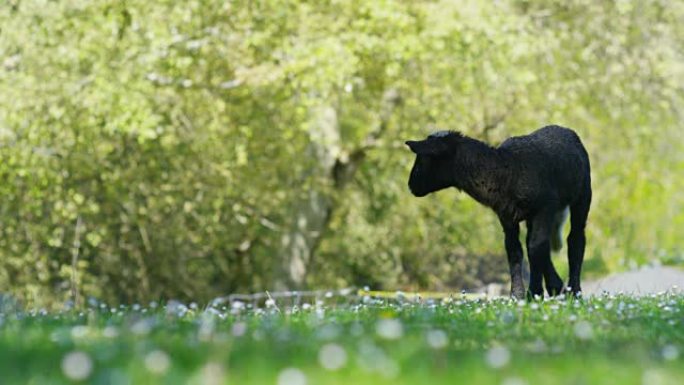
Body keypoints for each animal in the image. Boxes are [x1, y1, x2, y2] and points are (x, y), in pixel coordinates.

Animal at [404, 124, 592, 298]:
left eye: (423, 159)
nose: (411, 186)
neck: (506, 170)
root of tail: (563, 128)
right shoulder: (506, 215)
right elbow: (515, 250)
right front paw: (518, 295)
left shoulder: (545, 208)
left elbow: (537, 247)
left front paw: (535, 292)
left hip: (583, 194)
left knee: (575, 239)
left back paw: (574, 290)